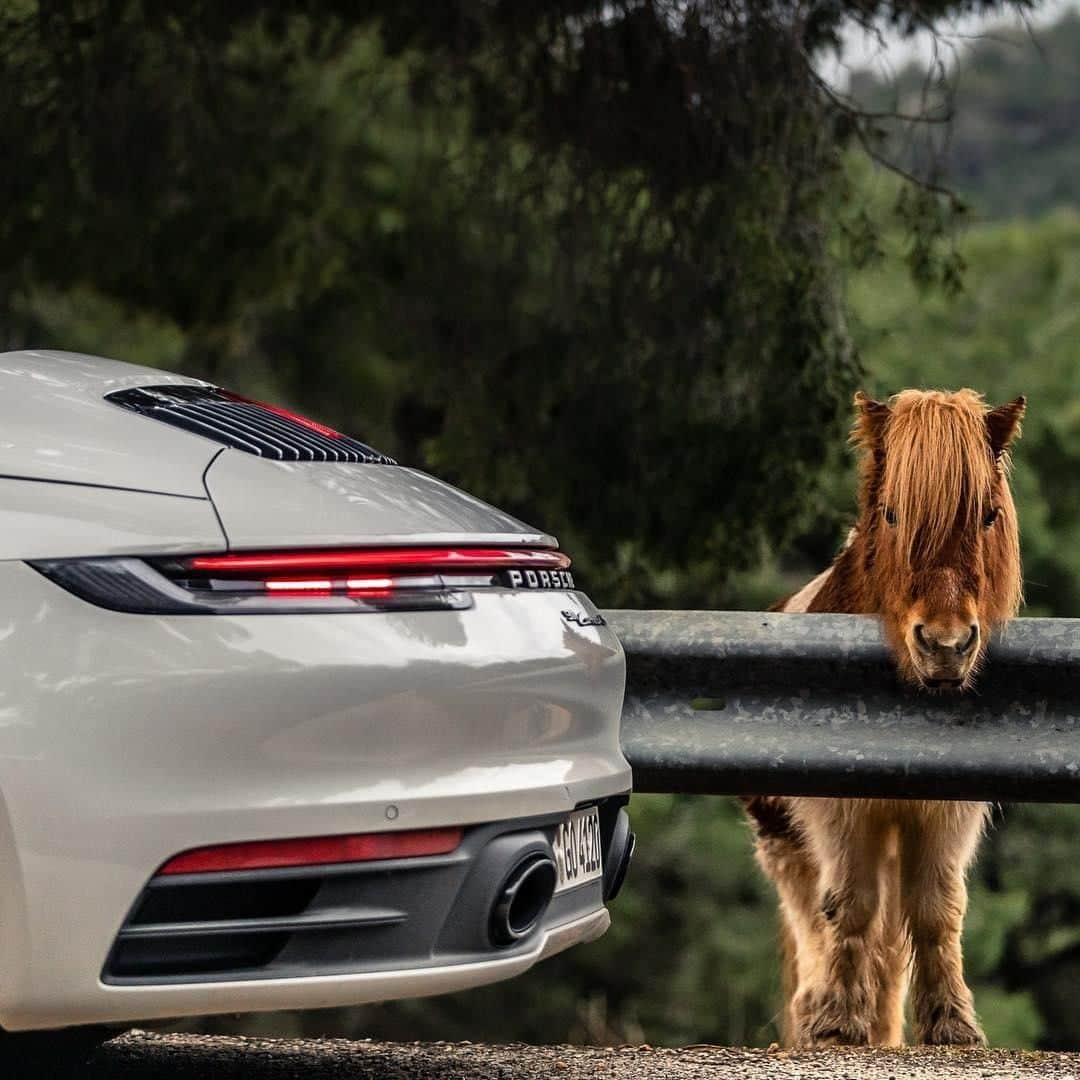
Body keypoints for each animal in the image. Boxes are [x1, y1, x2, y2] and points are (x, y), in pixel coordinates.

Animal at [747, 388, 1023, 1045]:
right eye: (893, 515)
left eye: (988, 516)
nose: (945, 646)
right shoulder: (839, 812)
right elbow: (849, 908)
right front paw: (837, 1023)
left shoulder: (949, 815)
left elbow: (938, 910)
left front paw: (953, 1025)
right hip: (787, 852)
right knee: (820, 929)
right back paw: (817, 1016)